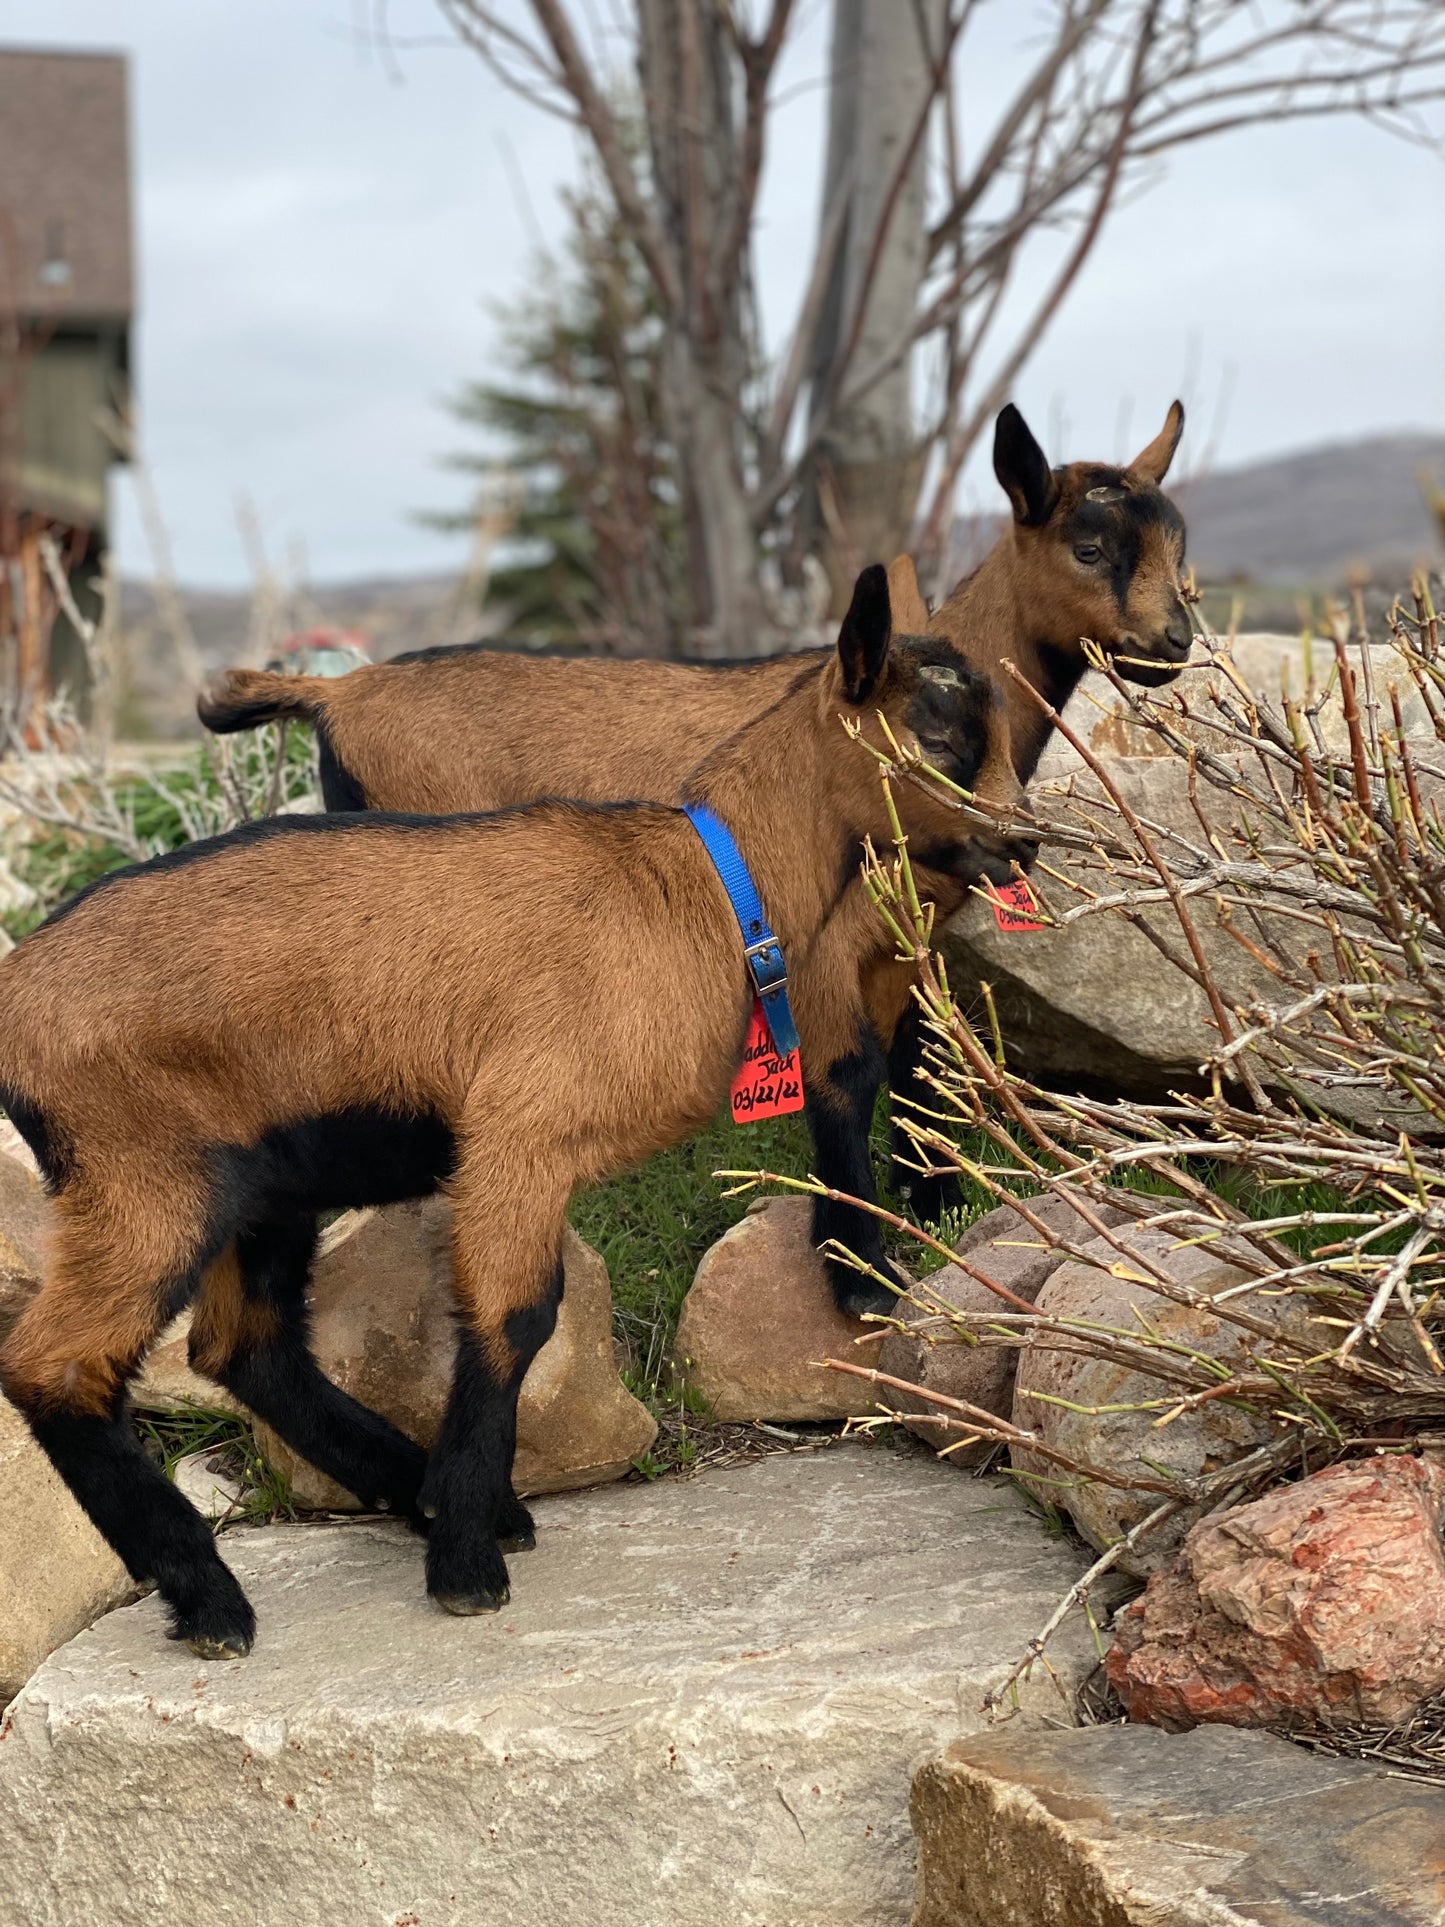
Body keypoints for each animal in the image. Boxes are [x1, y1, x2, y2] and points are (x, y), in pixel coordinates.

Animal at [0, 567, 1032, 1658]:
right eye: (935, 732)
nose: (1022, 842)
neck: (702, 888)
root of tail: (17, 987)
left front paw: (461, 1517)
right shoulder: (518, 1135)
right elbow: (515, 1316)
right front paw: (463, 1566)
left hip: (259, 1179)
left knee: (243, 1345)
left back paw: (405, 1490)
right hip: (142, 1177)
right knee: (57, 1366)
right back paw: (214, 1596)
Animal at [197, 401, 1191, 1294]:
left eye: (1179, 548)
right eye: (1088, 548)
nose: (1172, 642)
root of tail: (337, 692)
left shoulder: (904, 931)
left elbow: (916, 1053)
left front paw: (936, 1199)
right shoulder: (819, 942)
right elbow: (847, 1074)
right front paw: (858, 1270)